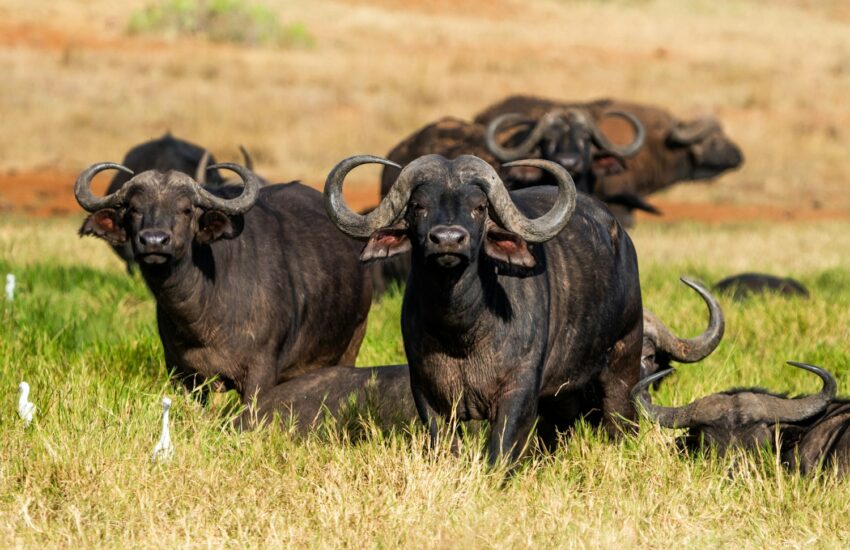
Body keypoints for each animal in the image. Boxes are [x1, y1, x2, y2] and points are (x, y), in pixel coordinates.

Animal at [76, 163, 372, 421]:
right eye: (135, 209)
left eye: (186, 209)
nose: (154, 241)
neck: (203, 313)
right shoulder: (180, 373)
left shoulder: (261, 372)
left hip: (352, 341)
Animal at [326, 154, 643, 465]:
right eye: (418, 206)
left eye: (479, 207)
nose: (448, 239)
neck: (461, 331)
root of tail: (621, 238)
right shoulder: (426, 391)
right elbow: (445, 444)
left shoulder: (518, 390)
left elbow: (500, 449)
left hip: (624, 359)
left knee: (620, 417)